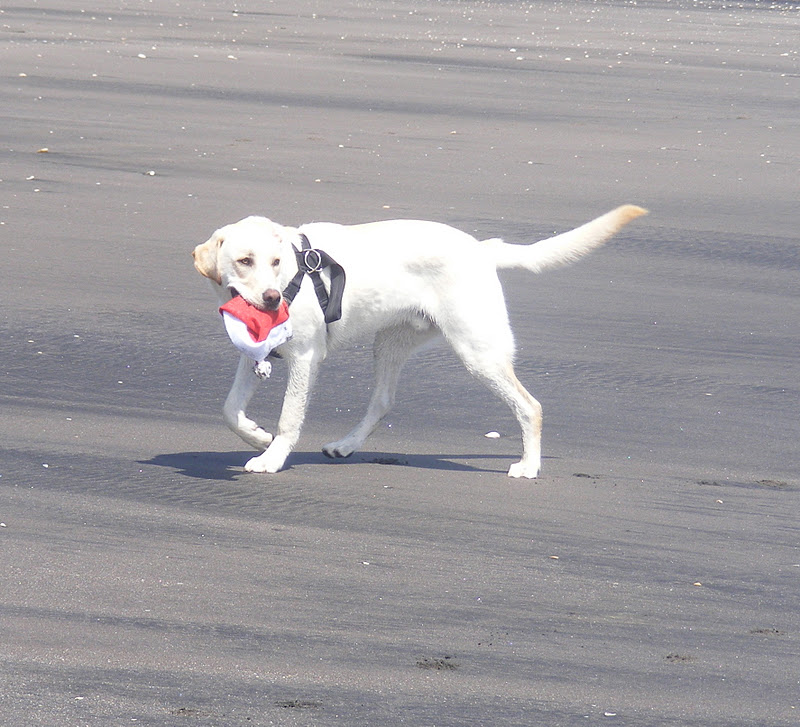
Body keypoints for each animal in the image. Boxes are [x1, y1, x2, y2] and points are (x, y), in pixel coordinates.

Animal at [192, 205, 644, 478]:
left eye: (275, 262)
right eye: (244, 261)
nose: (271, 299)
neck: (294, 276)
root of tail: (481, 249)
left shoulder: (305, 357)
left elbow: (289, 418)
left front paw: (271, 457)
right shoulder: (253, 355)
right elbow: (229, 410)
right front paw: (257, 435)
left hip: (478, 352)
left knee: (530, 406)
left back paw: (528, 466)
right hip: (389, 344)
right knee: (383, 401)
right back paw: (345, 445)